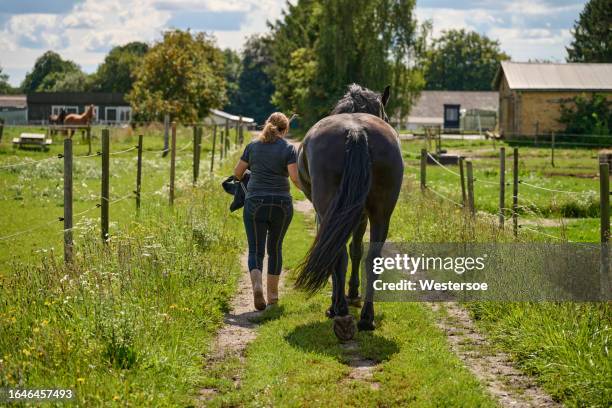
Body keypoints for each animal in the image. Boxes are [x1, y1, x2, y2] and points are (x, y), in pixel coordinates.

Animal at [298, 83, 406, 342]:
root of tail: (356, 131)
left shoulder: (328, 217)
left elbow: (342, 254)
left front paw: (339, 300)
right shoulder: (361, 214)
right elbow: (356, 250)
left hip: (331, 212)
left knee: (338, 255)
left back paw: (341, 311)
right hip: (381, 214)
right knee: (372, 258)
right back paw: (366, 317)